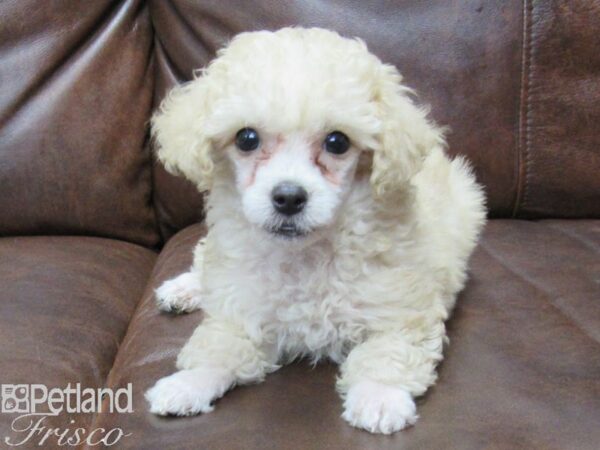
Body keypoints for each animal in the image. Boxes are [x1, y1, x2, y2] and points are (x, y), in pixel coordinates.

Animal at [145, 26, 488, 434]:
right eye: (246, 138)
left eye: (337, 142)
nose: (289, 197)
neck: (306, 255)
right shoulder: (242, 305)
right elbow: (220, 344)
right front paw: (186, 384)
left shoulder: (402, 307)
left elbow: (388, 350)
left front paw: (379, 396)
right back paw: (183, 289)